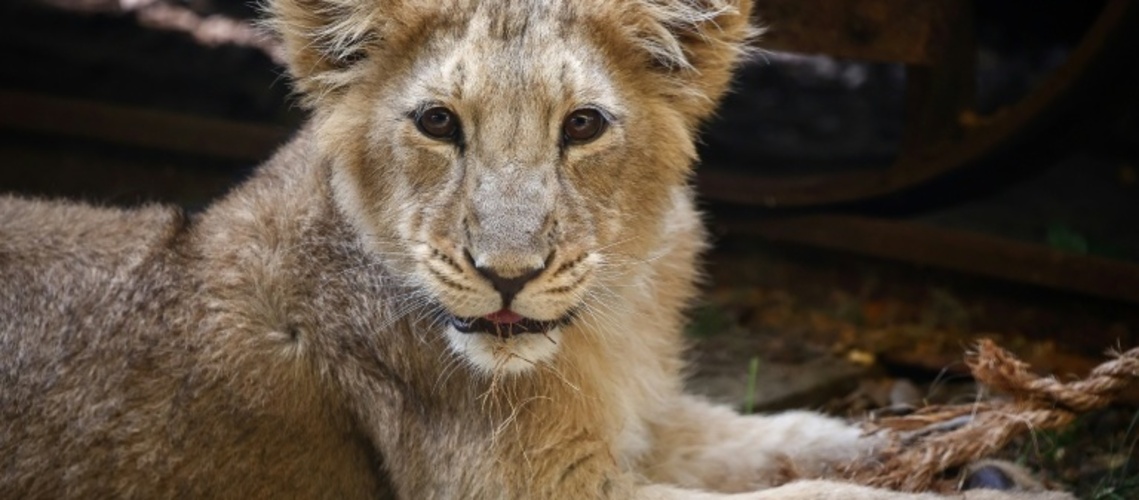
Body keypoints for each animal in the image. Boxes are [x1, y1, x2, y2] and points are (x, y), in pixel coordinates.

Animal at [0, 0, 1072, 498]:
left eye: (583, 126)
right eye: (438, 123)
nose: (505, 278)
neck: (605, 326)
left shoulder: (629, 416)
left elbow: (757, 438)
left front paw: (935, 439)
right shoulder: (520, 486)